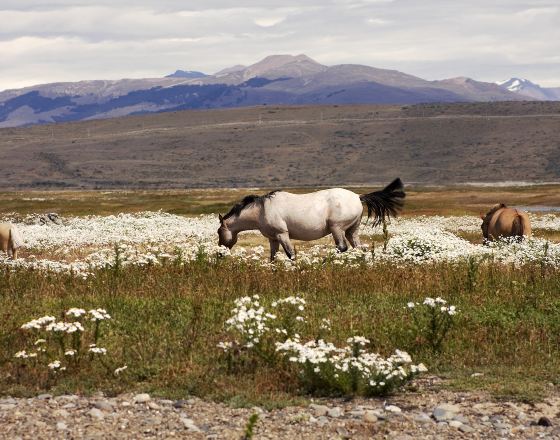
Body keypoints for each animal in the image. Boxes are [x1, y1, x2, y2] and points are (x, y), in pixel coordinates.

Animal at [217, 180, 404, 262]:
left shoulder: (282, 234)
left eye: (219, 232)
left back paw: (324, 261)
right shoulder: (272, 239)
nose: (220, 254)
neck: (262, 209)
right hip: (352, 231)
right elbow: (273, 257)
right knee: (359, 248)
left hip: (337, 229)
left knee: (341, 247)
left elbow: (290, 254)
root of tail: (358, 197)